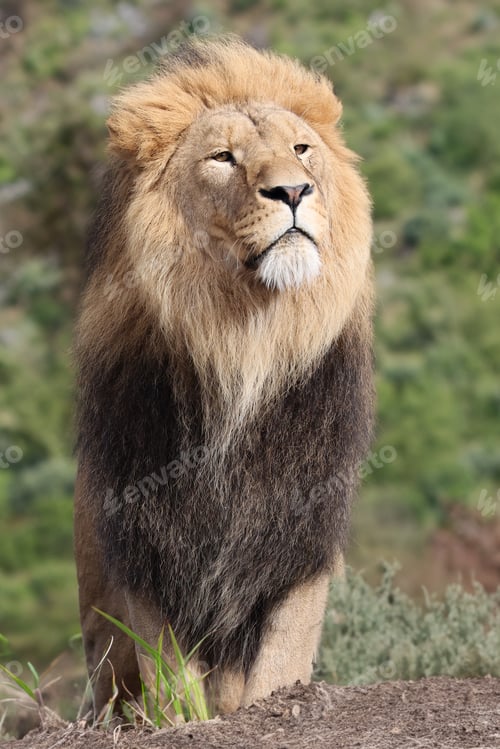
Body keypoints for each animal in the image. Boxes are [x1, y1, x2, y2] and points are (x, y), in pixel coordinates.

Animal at [74, 36, 374, 716]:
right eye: (222, 158)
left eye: (301, 148)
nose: (293, 191)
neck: (243, 340)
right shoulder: (148, 535)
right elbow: (167, 669)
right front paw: (183, 720)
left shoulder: (300, 531)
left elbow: (283, 654)